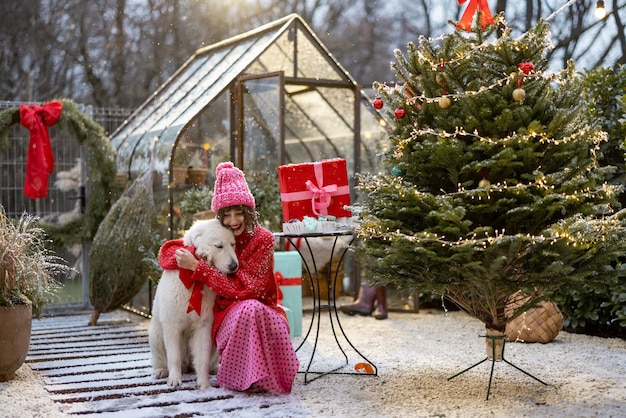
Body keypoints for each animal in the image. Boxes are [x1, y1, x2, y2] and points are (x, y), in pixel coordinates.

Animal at [147, 219, 238, 388]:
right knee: (160, 356)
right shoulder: (172, 324)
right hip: (156, 335)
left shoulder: (204, 324)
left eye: (233, 244)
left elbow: (202, 356)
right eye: (219, 246)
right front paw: (174, 380)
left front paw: (204, 384)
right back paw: (161, 371)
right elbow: (174, 356)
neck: (194, 279)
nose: (234, 266)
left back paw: (214, 369)